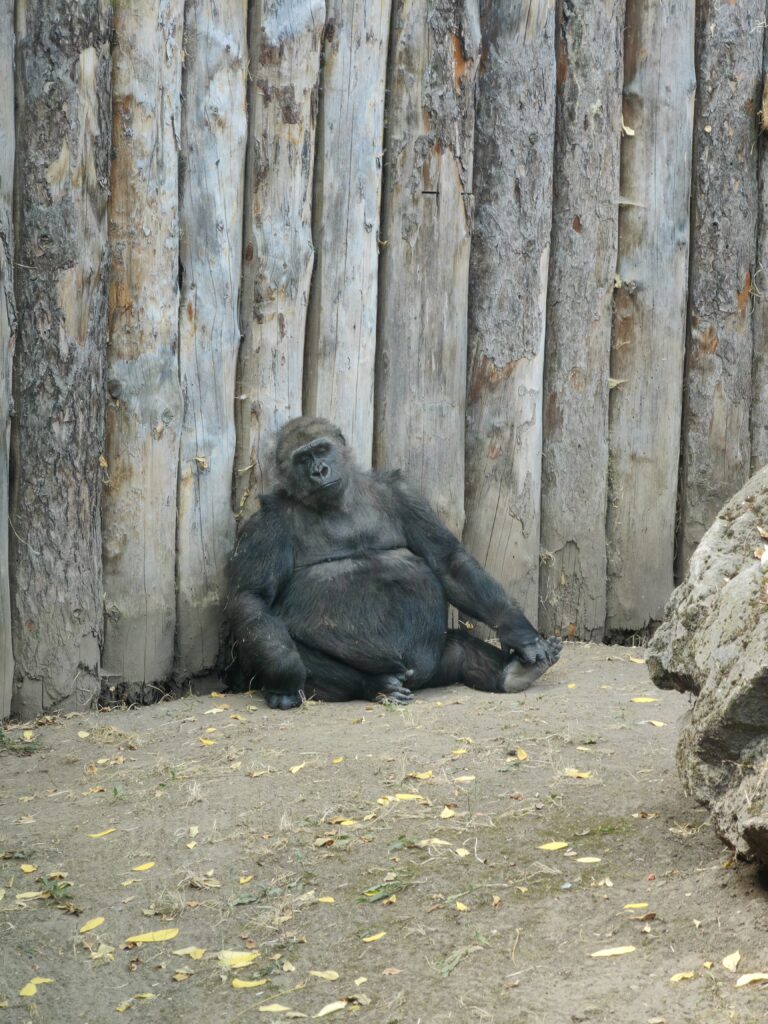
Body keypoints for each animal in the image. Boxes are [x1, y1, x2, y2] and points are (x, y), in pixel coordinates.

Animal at [225, 413, 561, 704]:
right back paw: (374, 685)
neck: (337, 502)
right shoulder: (266, 523)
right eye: (302, 459)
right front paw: (286, 670)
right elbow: (253, 597)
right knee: (296, 651)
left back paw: (512, 674)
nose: (319, 470)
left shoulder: (403, 494)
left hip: (436, 663)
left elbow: (447, 561)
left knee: (460, 649)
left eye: (322, 449)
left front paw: (521, 636)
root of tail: (419, 682)